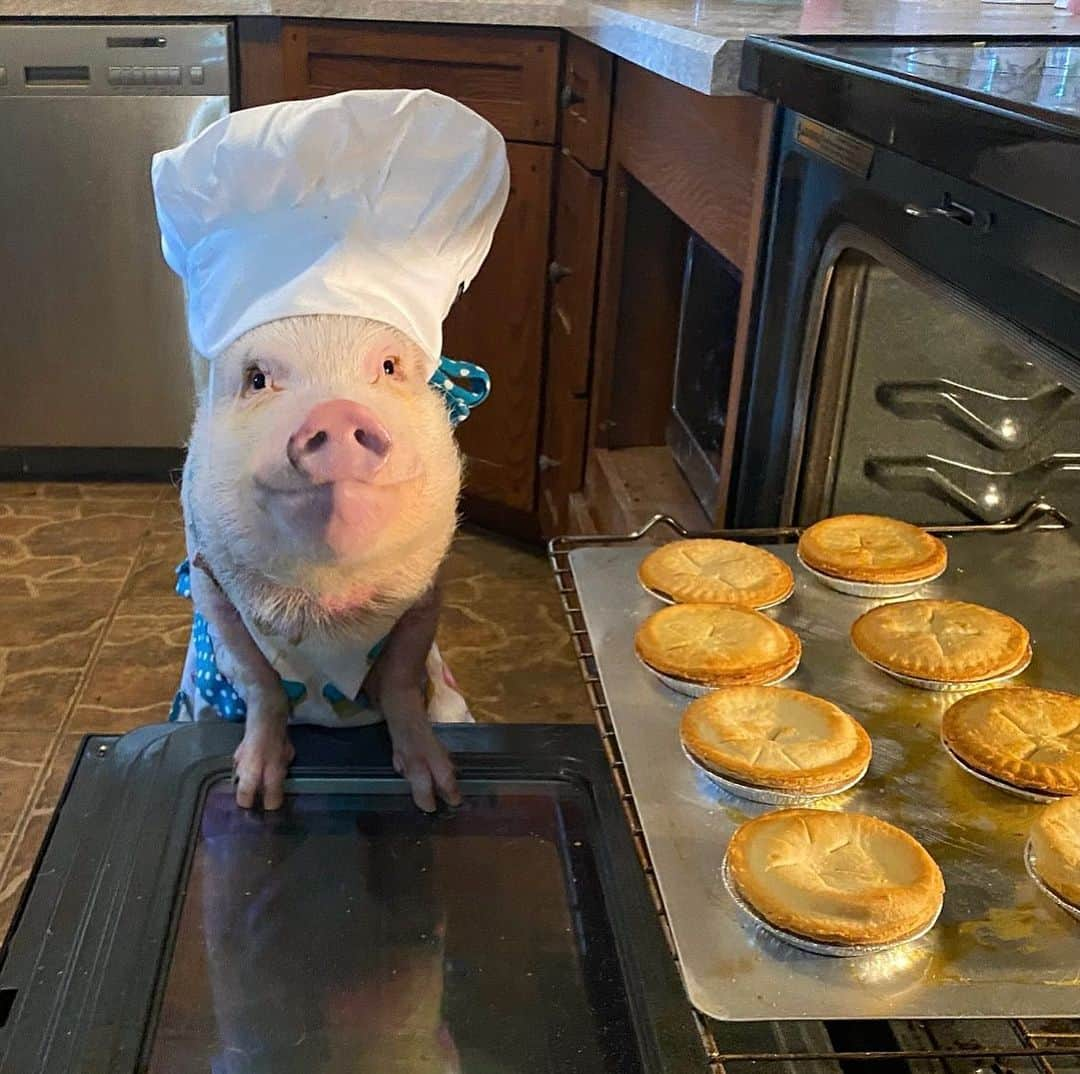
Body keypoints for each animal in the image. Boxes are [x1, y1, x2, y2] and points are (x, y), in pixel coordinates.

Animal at [173, 313, 468, 808]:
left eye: (388, 366)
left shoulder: (427, 588)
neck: (327, 611)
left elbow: (402, 676)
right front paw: (254, 796)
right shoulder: (209, 580)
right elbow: (259, 678)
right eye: (257, 379)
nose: (339, 412)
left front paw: (439, 794)